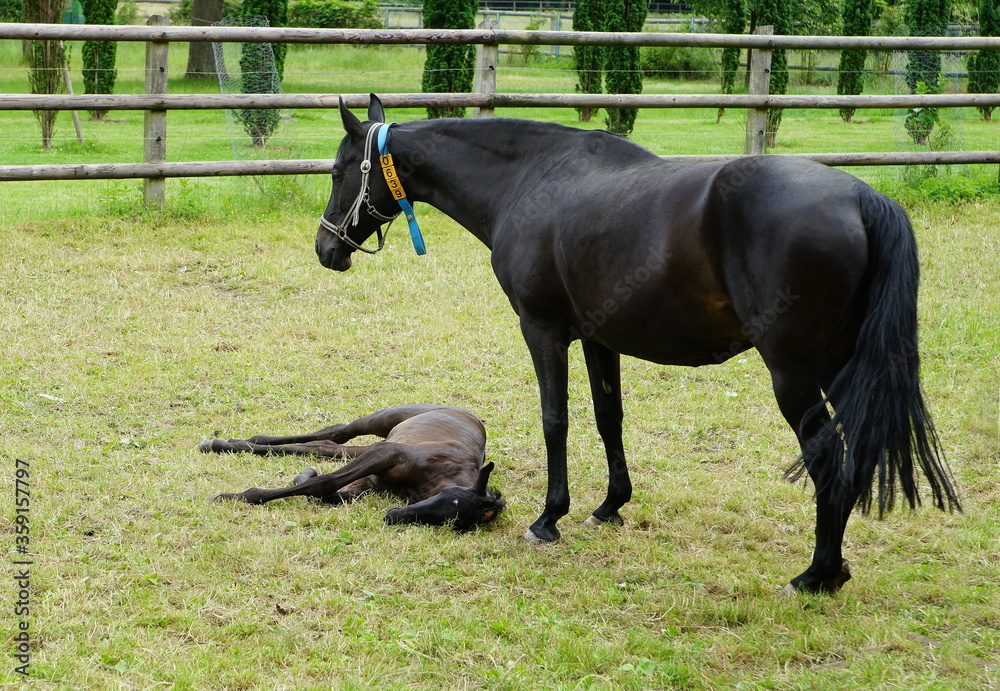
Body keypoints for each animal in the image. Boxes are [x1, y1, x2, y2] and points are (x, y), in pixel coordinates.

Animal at [205, 405, 506, 531]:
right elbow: (323, 483)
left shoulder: (372, 480)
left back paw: (232, 443)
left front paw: (303, 474)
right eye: (449, 499)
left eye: (453, 523)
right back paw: (218, 443)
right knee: (338, 432)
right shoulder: (386, 454)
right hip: (381, 422)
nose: (393, 515)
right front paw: (236, 496)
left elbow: (322, 491)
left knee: (327, 444)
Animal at [313, 94, 960, 593]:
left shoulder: (542, 330)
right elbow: (608, 419)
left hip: (795, 375)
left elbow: (555, 420)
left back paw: (818, 575)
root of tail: (861, 198)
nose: (326, 248)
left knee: (827, 457)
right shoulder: (600, 338)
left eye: (340, 169)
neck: (532, 180)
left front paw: (549, 517)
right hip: (839, 367)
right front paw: (609, 506)